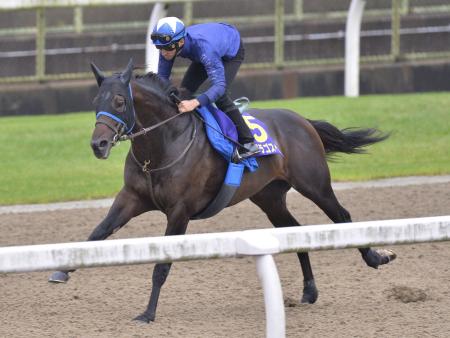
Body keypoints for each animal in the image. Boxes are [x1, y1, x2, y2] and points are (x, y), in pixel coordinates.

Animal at [47, 60, 396, 322]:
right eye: (95, 103)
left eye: (119, 102)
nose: (98, 144)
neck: (162, 145)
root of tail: (301, 120)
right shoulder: (131, 198)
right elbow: (98, 233)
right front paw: (61, 271)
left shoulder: (180, 212)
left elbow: (161, 265)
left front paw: (147, 313)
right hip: (269, 197)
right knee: (295, 232)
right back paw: (309, 290)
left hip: (315, 185)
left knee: (343, 216)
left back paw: (375, 257)